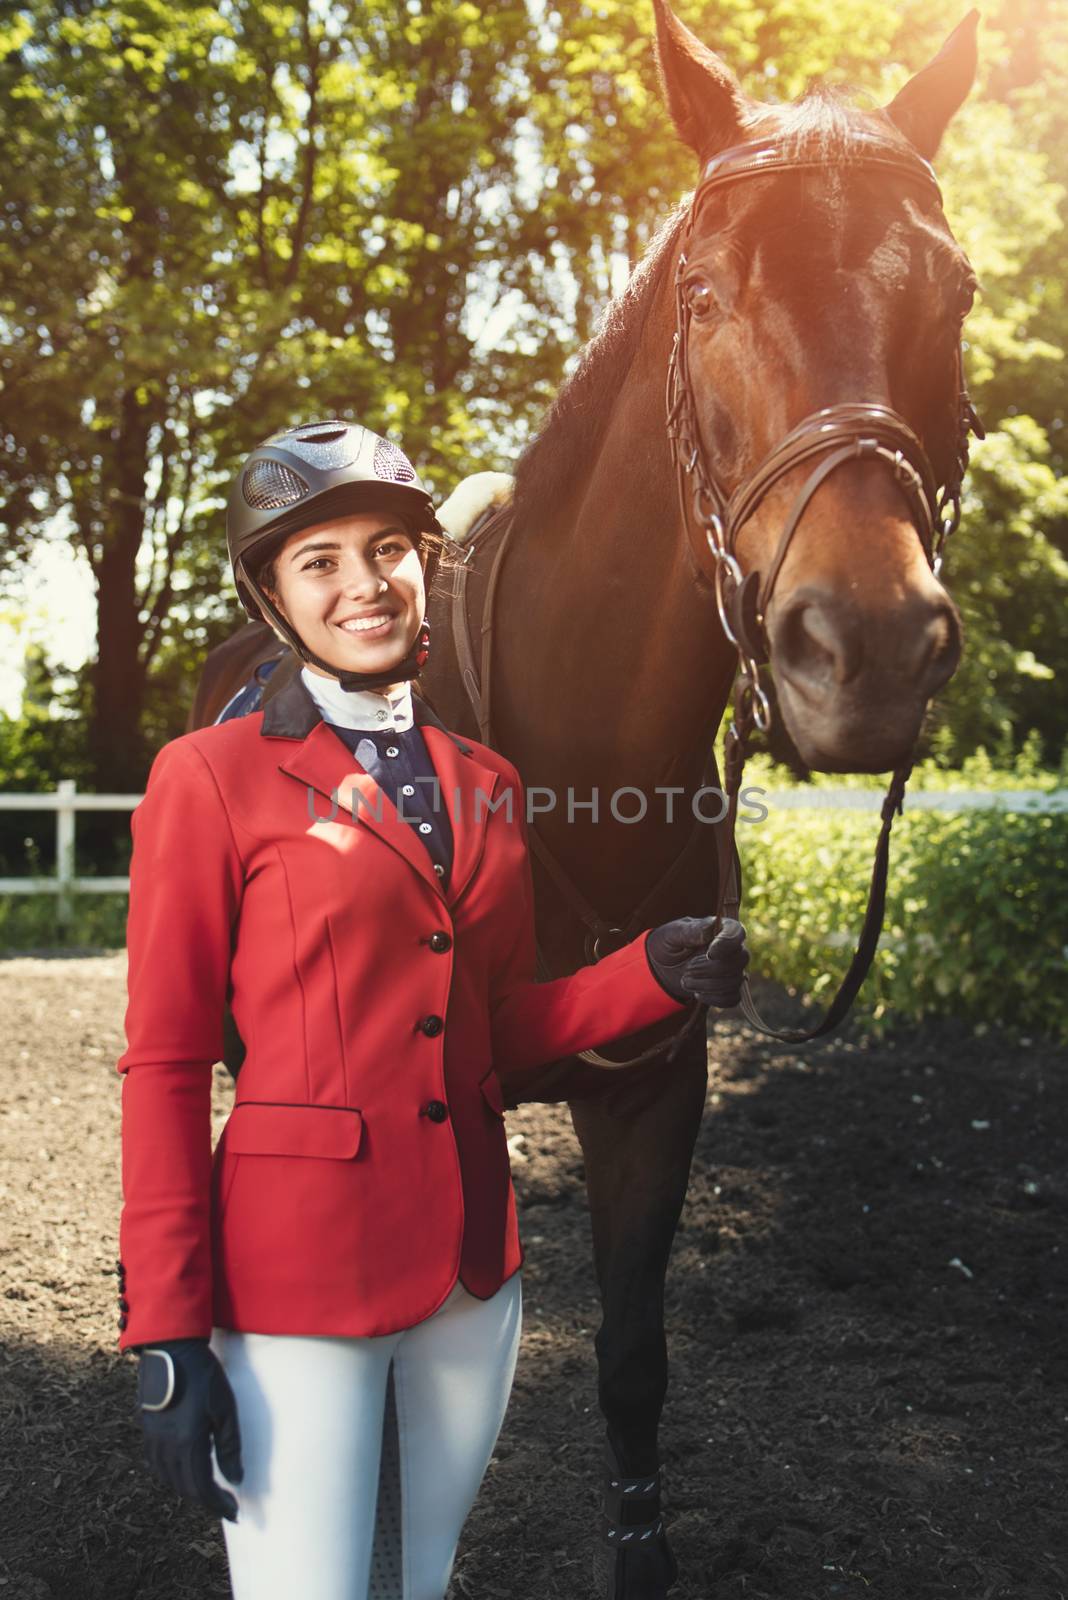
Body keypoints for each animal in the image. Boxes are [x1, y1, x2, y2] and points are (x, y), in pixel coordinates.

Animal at [185, 9, 978, 1587]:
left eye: (962, 291)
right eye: (707, 296)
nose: (864, 648)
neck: (568, 758)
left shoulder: (652, 1091)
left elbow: (628, 1359)